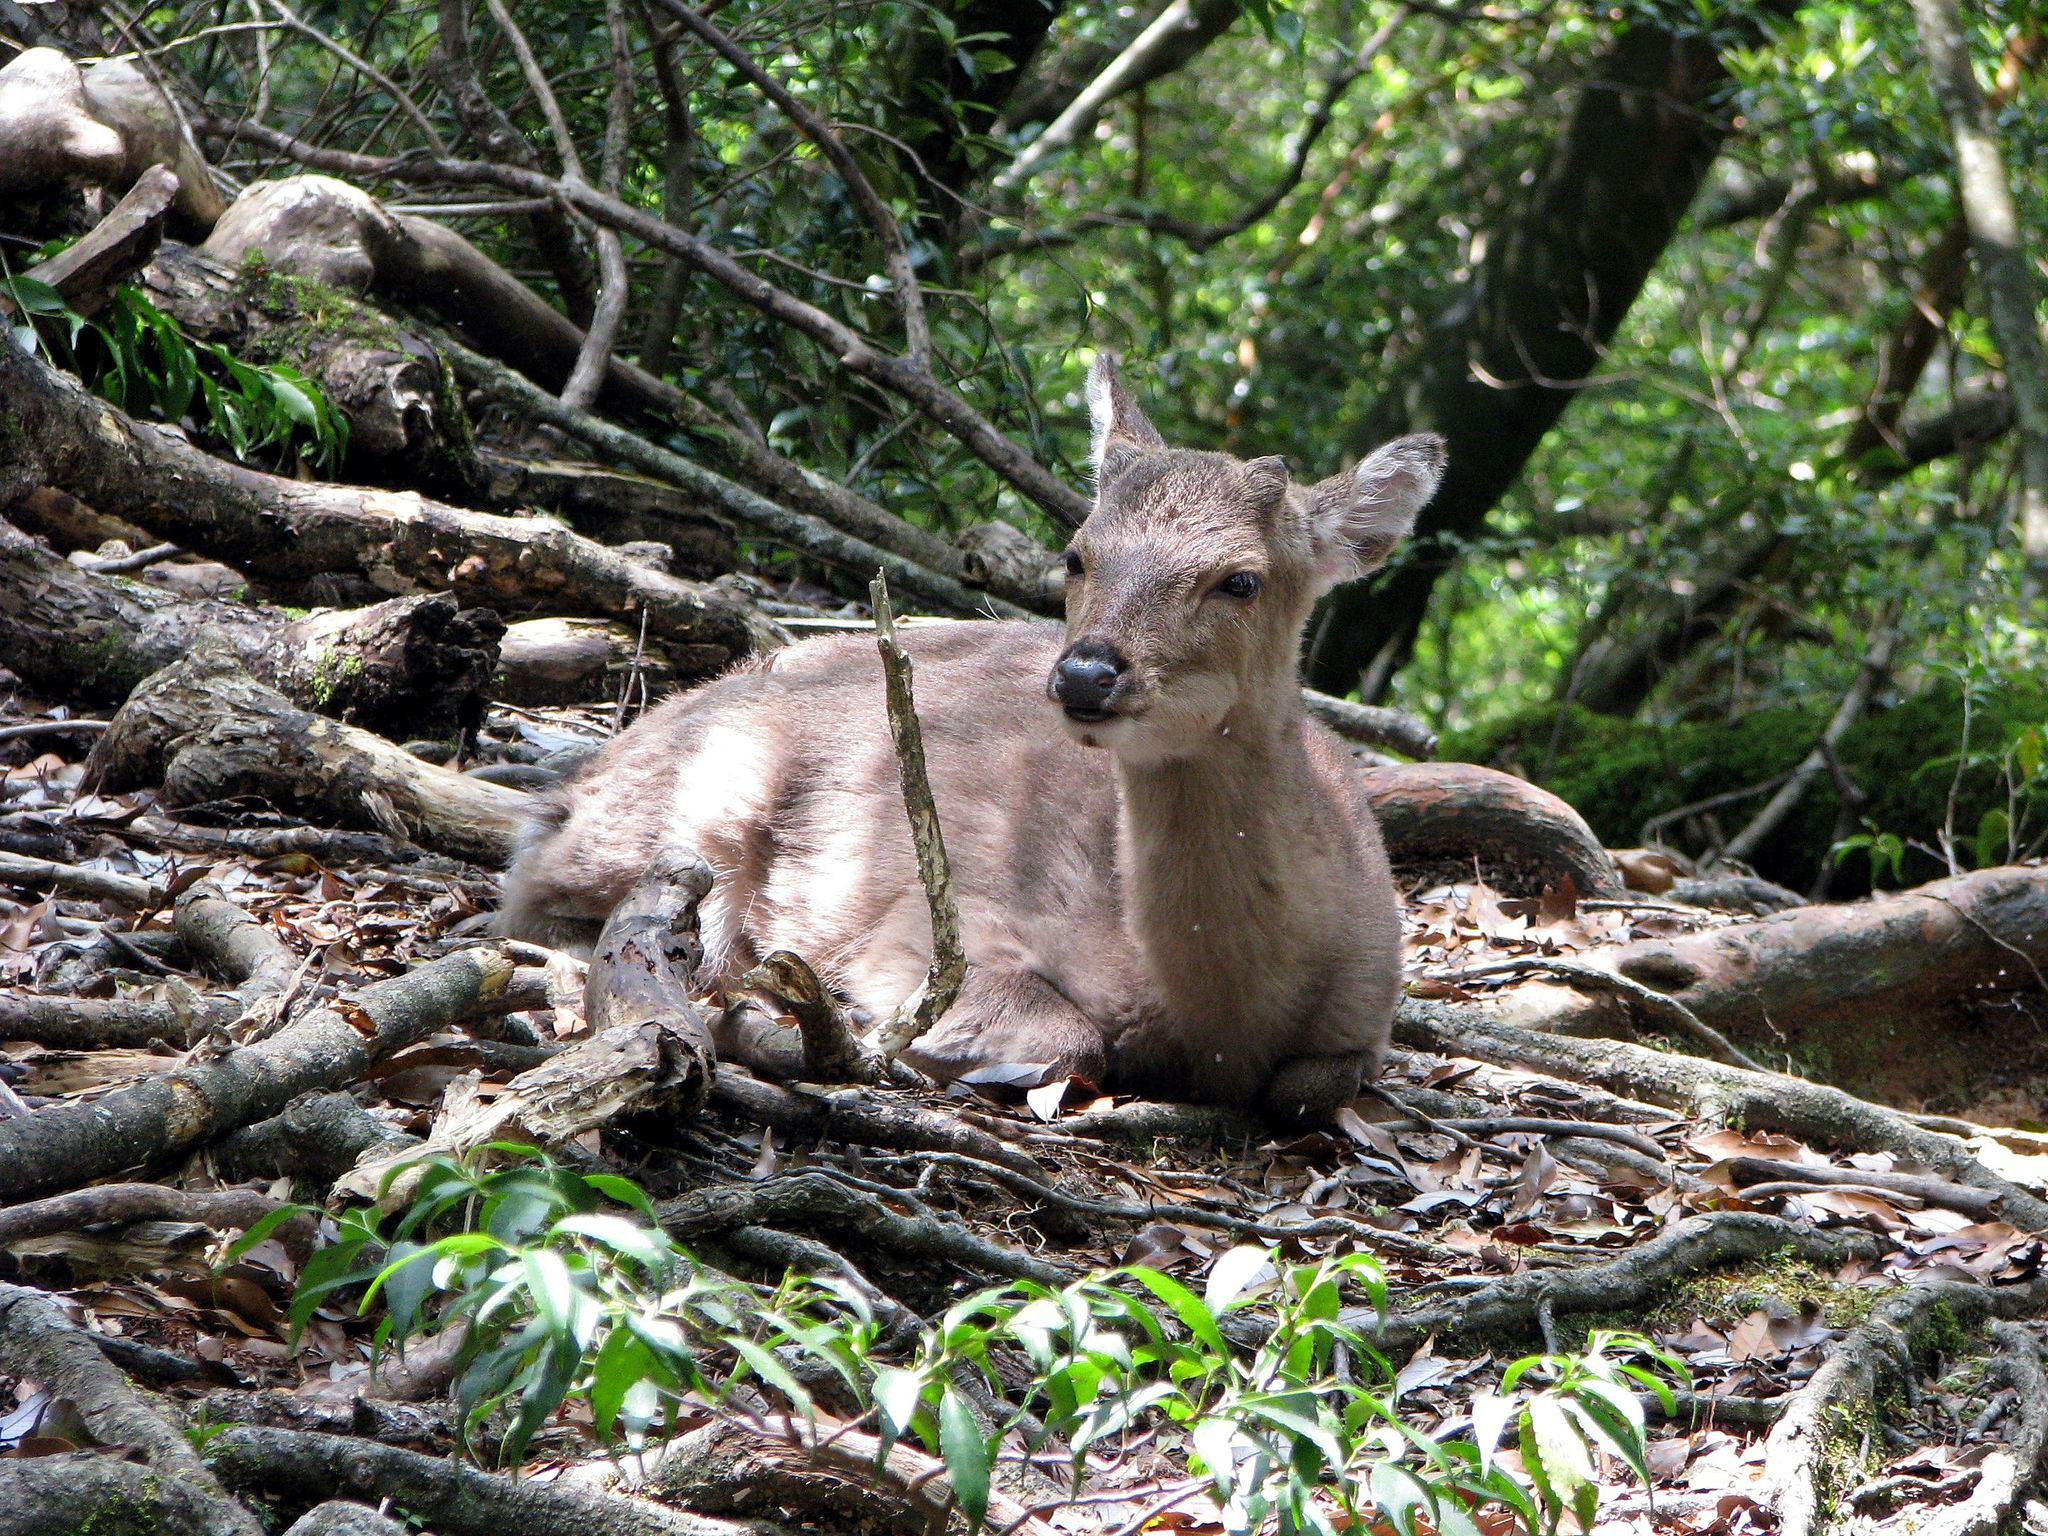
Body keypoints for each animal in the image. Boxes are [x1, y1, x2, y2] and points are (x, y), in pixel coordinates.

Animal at [493, 364, 1441, 1122]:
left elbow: (1312, 1086)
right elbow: (1072, 1036)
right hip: (703, 800)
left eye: (1241, 580)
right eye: (1076, 554)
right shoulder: (933, 929)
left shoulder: (1367, 1016)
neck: (1221, 1019)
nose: (1086, 674)